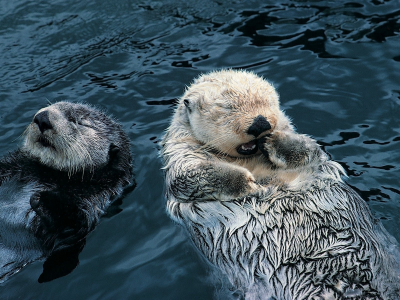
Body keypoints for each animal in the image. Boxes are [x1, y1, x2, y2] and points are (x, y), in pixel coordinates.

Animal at [0, 102, 133, 282]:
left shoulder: (93, 201)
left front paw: (44, 200)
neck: (50, 175)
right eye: (51, 106)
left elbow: (70, 226)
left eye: (79, 121)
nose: (42, 118)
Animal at [161, 69, 400, 300]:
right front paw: (249, 183)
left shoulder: (309, 154)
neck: (249, 160)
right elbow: (189, 176)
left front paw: (273, 141)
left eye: (267, 101)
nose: (260, 123)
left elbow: (309, 150)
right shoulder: (181, 155)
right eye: (226, 107)